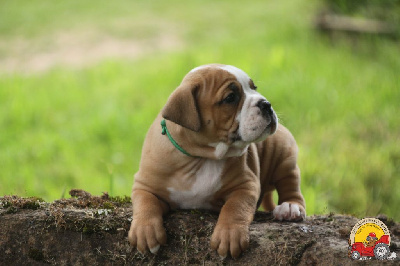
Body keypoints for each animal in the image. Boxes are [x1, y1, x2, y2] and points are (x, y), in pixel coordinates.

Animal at [128, 63, 306, 258]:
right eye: (231, 98)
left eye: (254, 88)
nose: (266, 104)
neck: (202, 157)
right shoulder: (145, 185)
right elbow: (145, 202)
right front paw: (145, 232)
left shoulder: (245, 185)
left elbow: (235, 207)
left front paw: (229, 235)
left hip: (284, 155)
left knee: (290, 184)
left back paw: (290, 207)